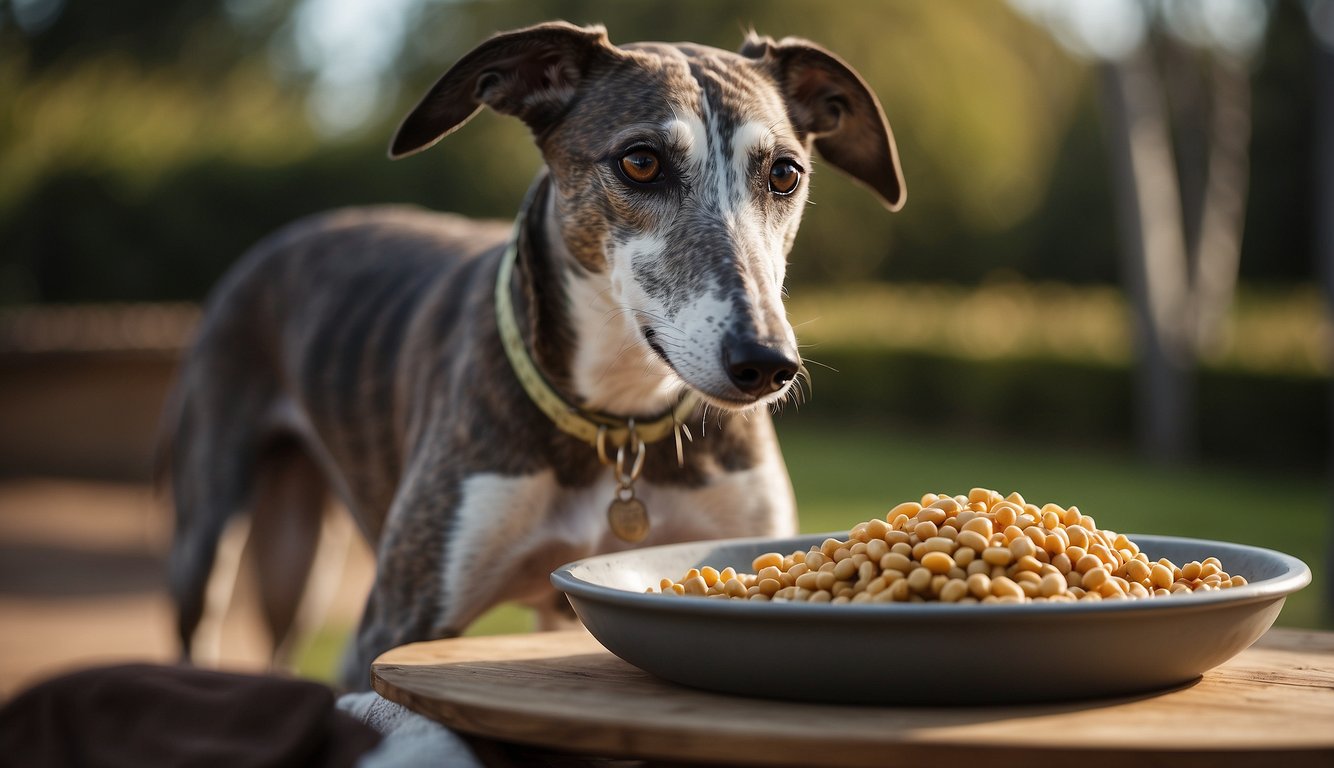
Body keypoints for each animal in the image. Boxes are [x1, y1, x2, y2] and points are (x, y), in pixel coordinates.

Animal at [161, 19, 901, 688]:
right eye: (640, 161)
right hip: (212, 528)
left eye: (784, 172)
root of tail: (282, 240)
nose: (766, 364)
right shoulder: (398, 622)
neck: (618, 423)